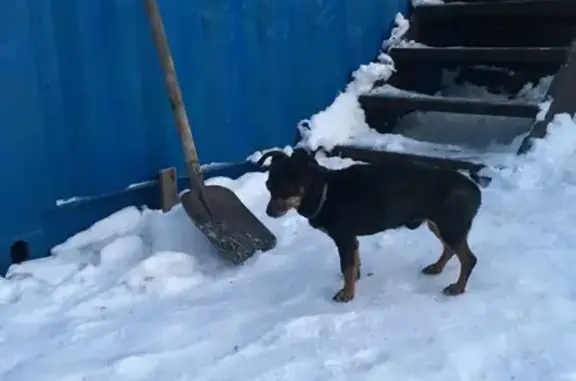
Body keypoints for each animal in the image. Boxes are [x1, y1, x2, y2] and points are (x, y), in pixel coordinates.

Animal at [256, 148, 482, 302]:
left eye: (285, 190)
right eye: (268, 186)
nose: (268, 212)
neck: (325, 191)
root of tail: (475, 190)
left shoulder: (344, 238)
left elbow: (347, 265)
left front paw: (347, 294)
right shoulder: (352, 240)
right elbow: (354, 264)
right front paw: (353, 281)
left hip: (449, 226)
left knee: (469, 259)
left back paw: (457, 287)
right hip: (440, 225)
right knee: (450, 249)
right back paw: (437, 267)